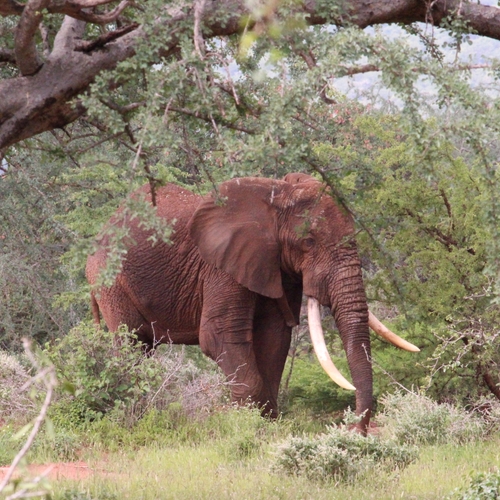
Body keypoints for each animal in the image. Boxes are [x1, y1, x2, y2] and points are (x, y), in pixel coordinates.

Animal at [87, 173, 418, 434]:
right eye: (308, 242)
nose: (356, 432)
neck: (276, 196)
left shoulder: (277, 267)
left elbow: (274, 337)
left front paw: (267, 427)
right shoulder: (222, 267)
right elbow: (220, 336)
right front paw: (252, 427)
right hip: (110, 280)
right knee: (132, 345)